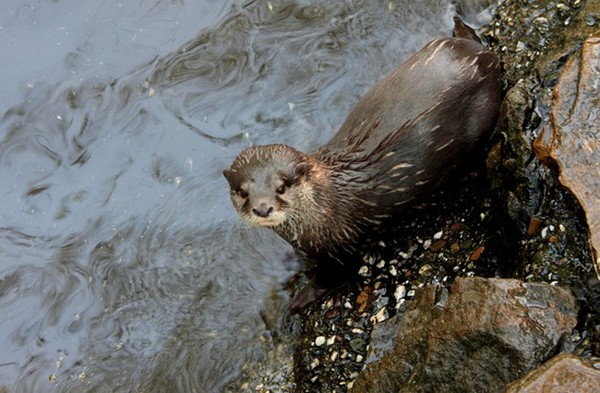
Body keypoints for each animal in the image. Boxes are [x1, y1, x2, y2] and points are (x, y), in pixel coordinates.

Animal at [223, 18, 500, 310]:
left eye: (281, 187)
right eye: (243, 191)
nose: (262, 208)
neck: (325, 207)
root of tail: (484, 56)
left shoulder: (341, 246)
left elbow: (336, 275)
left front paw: (301, 298)